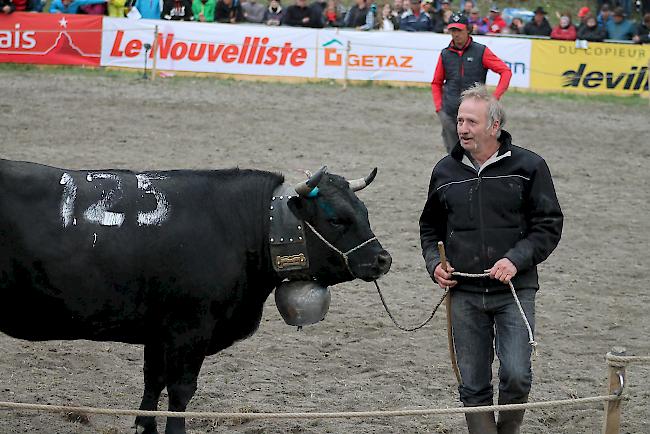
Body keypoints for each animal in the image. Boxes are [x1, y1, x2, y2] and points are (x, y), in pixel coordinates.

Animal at [0, 159, 390, 434]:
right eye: (337, 219)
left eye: (364, 212)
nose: (382, 259)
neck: (239, 226)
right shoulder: (189, 330)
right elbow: (181, 389)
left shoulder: (159, 332)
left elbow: (153, 380)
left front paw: (144, 427)